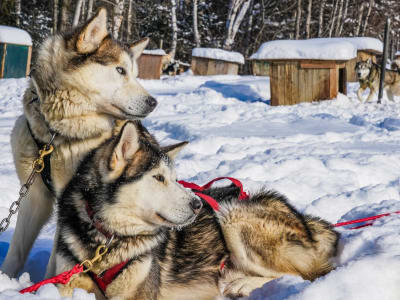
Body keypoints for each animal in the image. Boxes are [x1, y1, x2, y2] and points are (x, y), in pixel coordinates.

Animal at [0, 7, 157, 278]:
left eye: (135, 74)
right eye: (120, 70)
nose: (153, 102)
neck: (54, 136)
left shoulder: (69, 204)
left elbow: (55, 262)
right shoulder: (33, 196)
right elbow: (16, 252)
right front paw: (7, 279)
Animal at [54, 122, 340, 300]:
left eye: (175, 178)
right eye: (158, 178)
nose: (198, 204)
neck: (106, 241)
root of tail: (305, 221)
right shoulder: (66, 279)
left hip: (233, 216)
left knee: (307, 273)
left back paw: (243, 284)